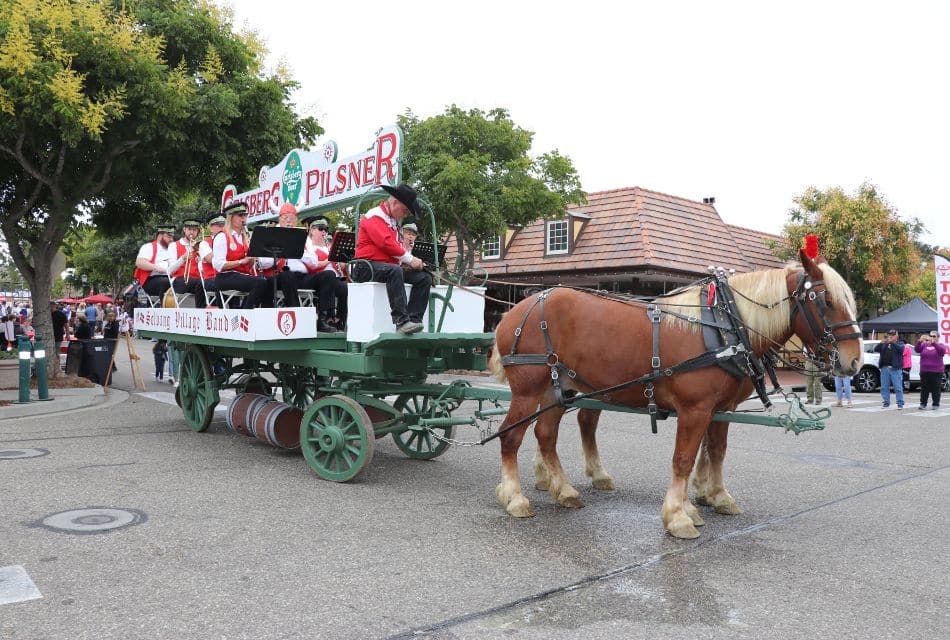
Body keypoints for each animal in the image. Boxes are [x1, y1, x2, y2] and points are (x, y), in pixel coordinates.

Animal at [490, 251, 864, 540]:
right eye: (826, 301)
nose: (855, 361)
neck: (725, 325)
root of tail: (514, 310)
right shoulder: (695, 408)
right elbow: (683, 458)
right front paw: (679, 516)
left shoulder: (721, 408)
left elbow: (714, 451)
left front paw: (715, 497)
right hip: (528, 390)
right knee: (511, 437)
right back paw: (515, 498)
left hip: (560, 388)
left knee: (546, 434)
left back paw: (565, 490)